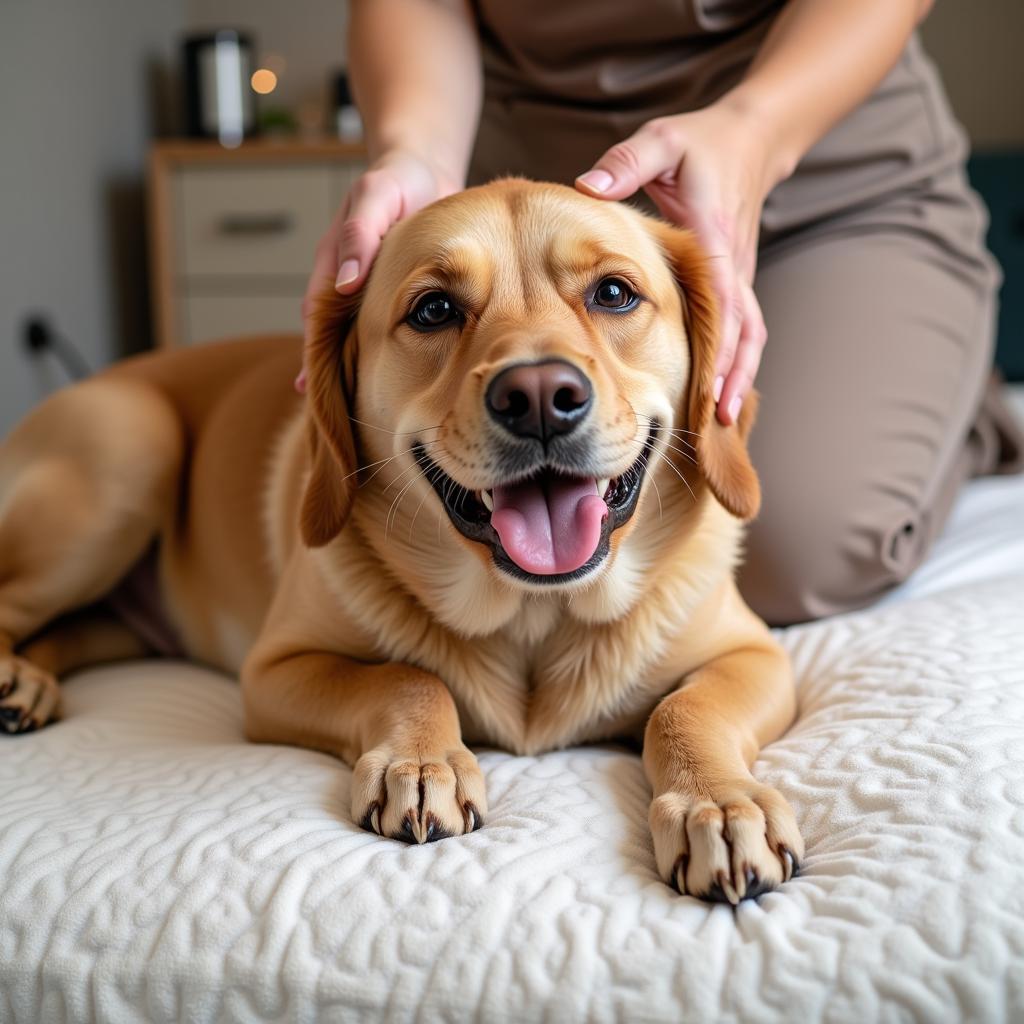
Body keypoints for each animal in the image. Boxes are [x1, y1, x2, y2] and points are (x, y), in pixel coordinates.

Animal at [0, 180, 798, 901]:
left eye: (613, 294)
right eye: (434, 309)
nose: (541, 396)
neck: (531, 613)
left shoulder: (757, 658)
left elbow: (682, 711)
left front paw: (718, 803)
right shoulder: (273, 672)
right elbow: (407, 678)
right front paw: (422, 763)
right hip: (126, 456)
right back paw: (15, 680)